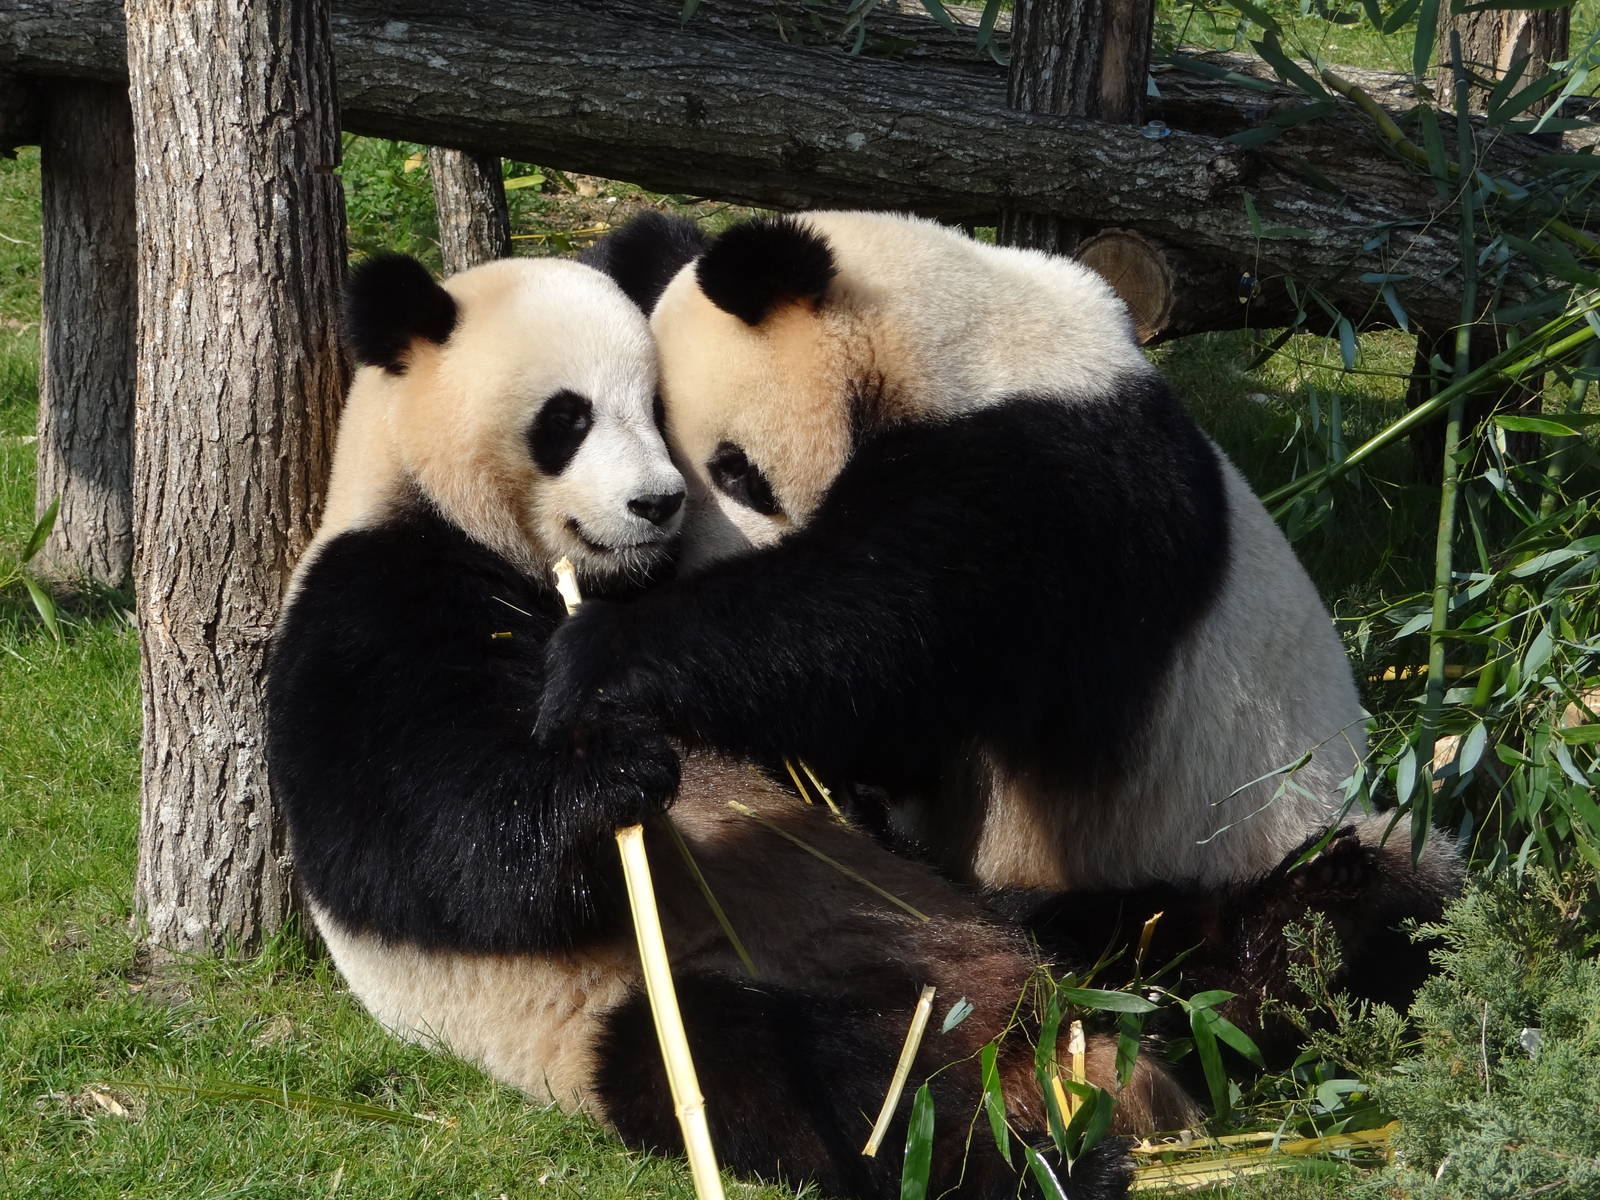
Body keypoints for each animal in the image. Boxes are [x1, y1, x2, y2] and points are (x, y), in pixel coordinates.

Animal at [264, 251, 1197, 1200]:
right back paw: (1041, 1158)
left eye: (654, 407)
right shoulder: (369, 603)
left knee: (1114, 933)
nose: (657, 504)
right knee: (796, 1075)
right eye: (568, 417)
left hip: (998, 912)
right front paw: (613, 778)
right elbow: (432, 851)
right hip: (654, 1003)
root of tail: (1015, 1027)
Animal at [541, 211, 1461, 1028]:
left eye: (736, 472)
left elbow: (877, 639)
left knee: (1359, 910)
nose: (682, 563)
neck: (965, 341)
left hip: (1256, 827)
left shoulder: (1052, 485)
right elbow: (894, 732)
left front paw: (599, 656)